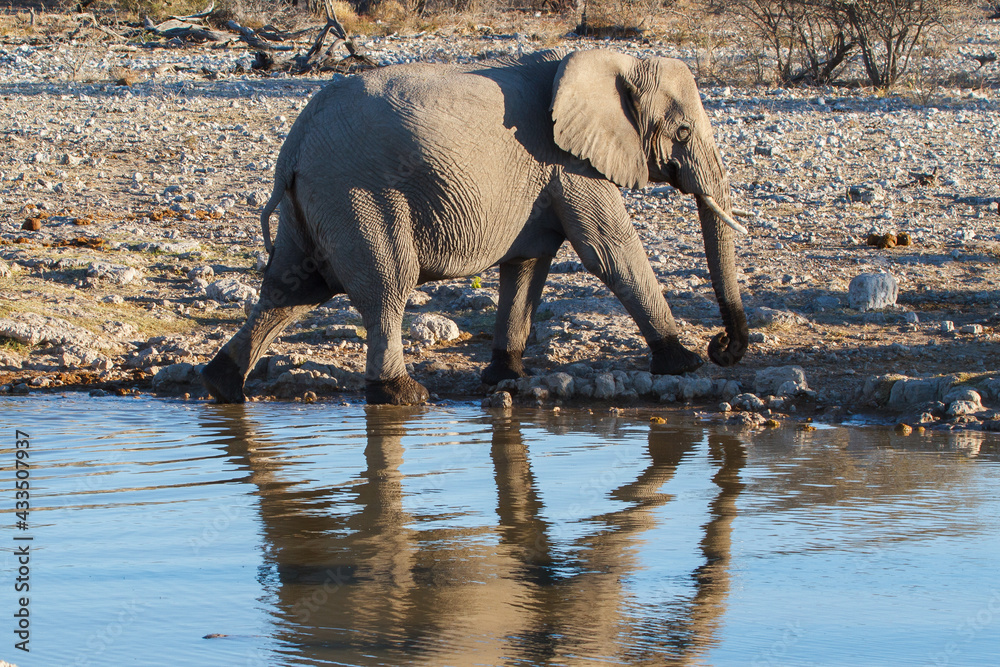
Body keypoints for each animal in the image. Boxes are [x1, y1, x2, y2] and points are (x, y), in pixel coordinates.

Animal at [202, 48, 749, 406]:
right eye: (682, 131)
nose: (722, 348)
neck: (610, 61)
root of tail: (293, 149)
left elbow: (526, 265)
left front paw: (504, 377)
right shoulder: (570, 164)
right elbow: (611, 252)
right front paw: (684, 363)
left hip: (314, 205)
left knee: (291, 290)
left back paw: (221, 385)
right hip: (356, 196)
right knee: (385, 288)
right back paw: (402, 396)